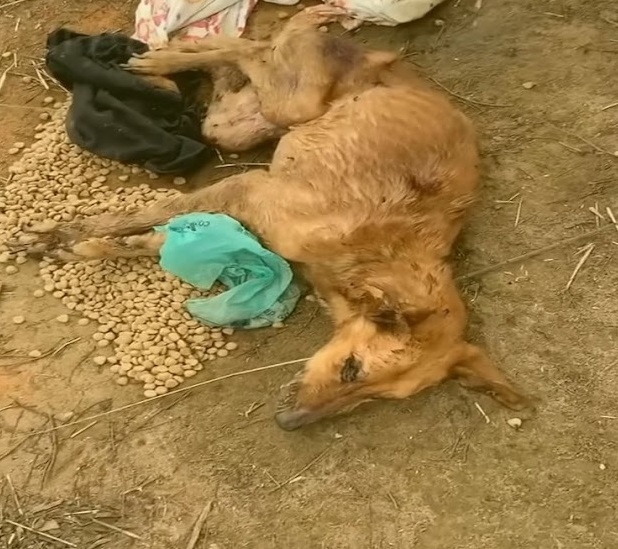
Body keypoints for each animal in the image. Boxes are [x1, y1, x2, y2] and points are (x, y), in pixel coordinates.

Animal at [22, 6, 524, 430]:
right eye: (351, 369)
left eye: (372, 399)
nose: (290, 424)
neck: (375, 257)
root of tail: (381, 61)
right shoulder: (248, 189)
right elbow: (145, 213)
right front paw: (67, 234)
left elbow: (150, 239)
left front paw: (90, 248)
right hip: (290, 105)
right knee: (253, 49)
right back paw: (170, 59)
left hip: (243, 123)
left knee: (244, 58)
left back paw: (185, 55)